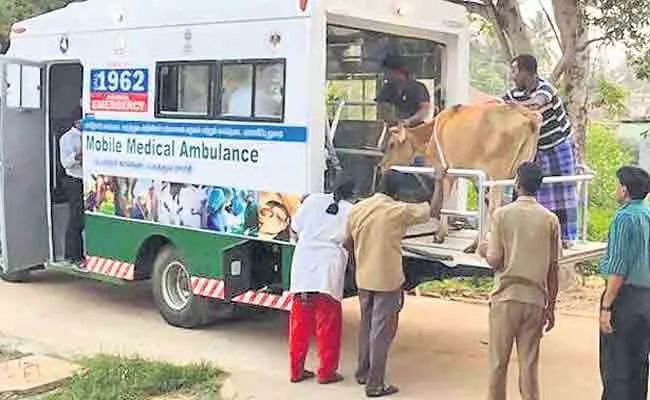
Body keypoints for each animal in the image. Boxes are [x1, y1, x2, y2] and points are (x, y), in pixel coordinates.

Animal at [378, 103, 540, 253]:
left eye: (392, 144)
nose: (381, 166)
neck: (431, 134)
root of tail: (529, 117)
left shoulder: (446, 171)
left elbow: (444, 202)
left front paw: (440, 235)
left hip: (497, 175)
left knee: (495, 208)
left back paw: (478, 246)